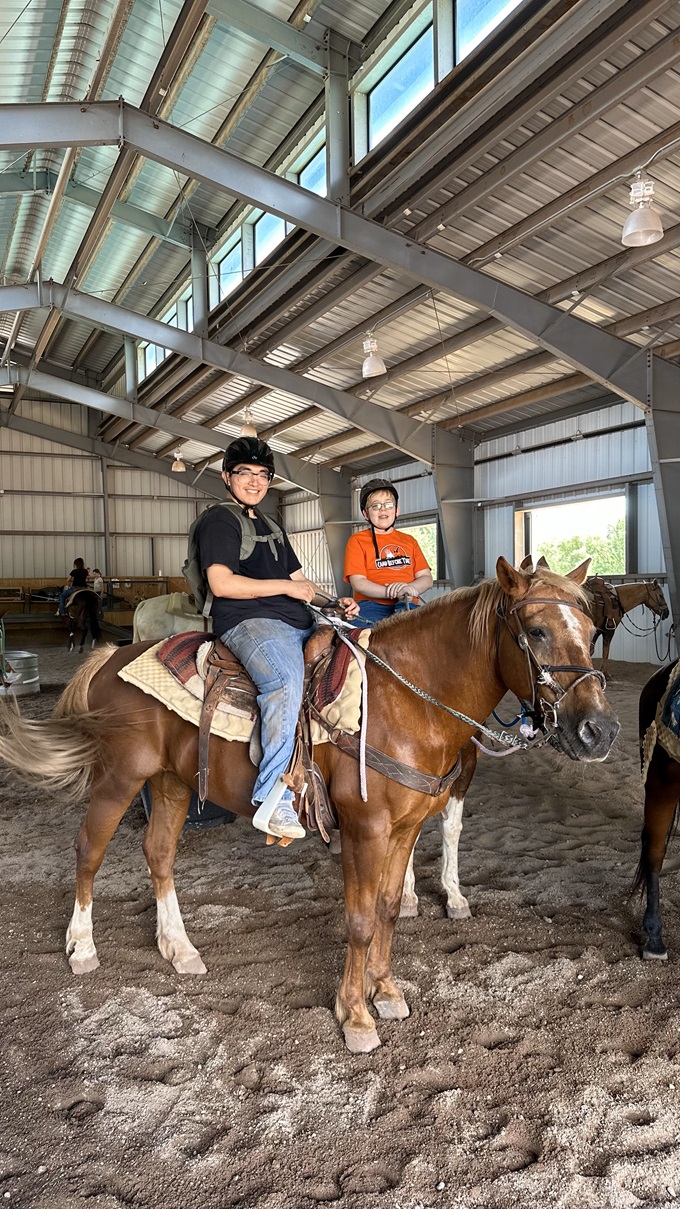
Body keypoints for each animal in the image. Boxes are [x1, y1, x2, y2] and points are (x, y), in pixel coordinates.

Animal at [0, 556, 619, 1049]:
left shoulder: (406, 828)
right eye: (536, 631)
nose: (600, 731)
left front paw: (385, 992)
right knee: (89, 849)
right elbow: (361, 919)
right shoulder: (365, 829)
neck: (405, 702)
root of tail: (108, 657)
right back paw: (82, 948)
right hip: (118, 777)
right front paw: (356, 1017)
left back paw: (179, 948)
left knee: (159, 854)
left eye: (591, 629)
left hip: (171, 782)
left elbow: (389, 908)